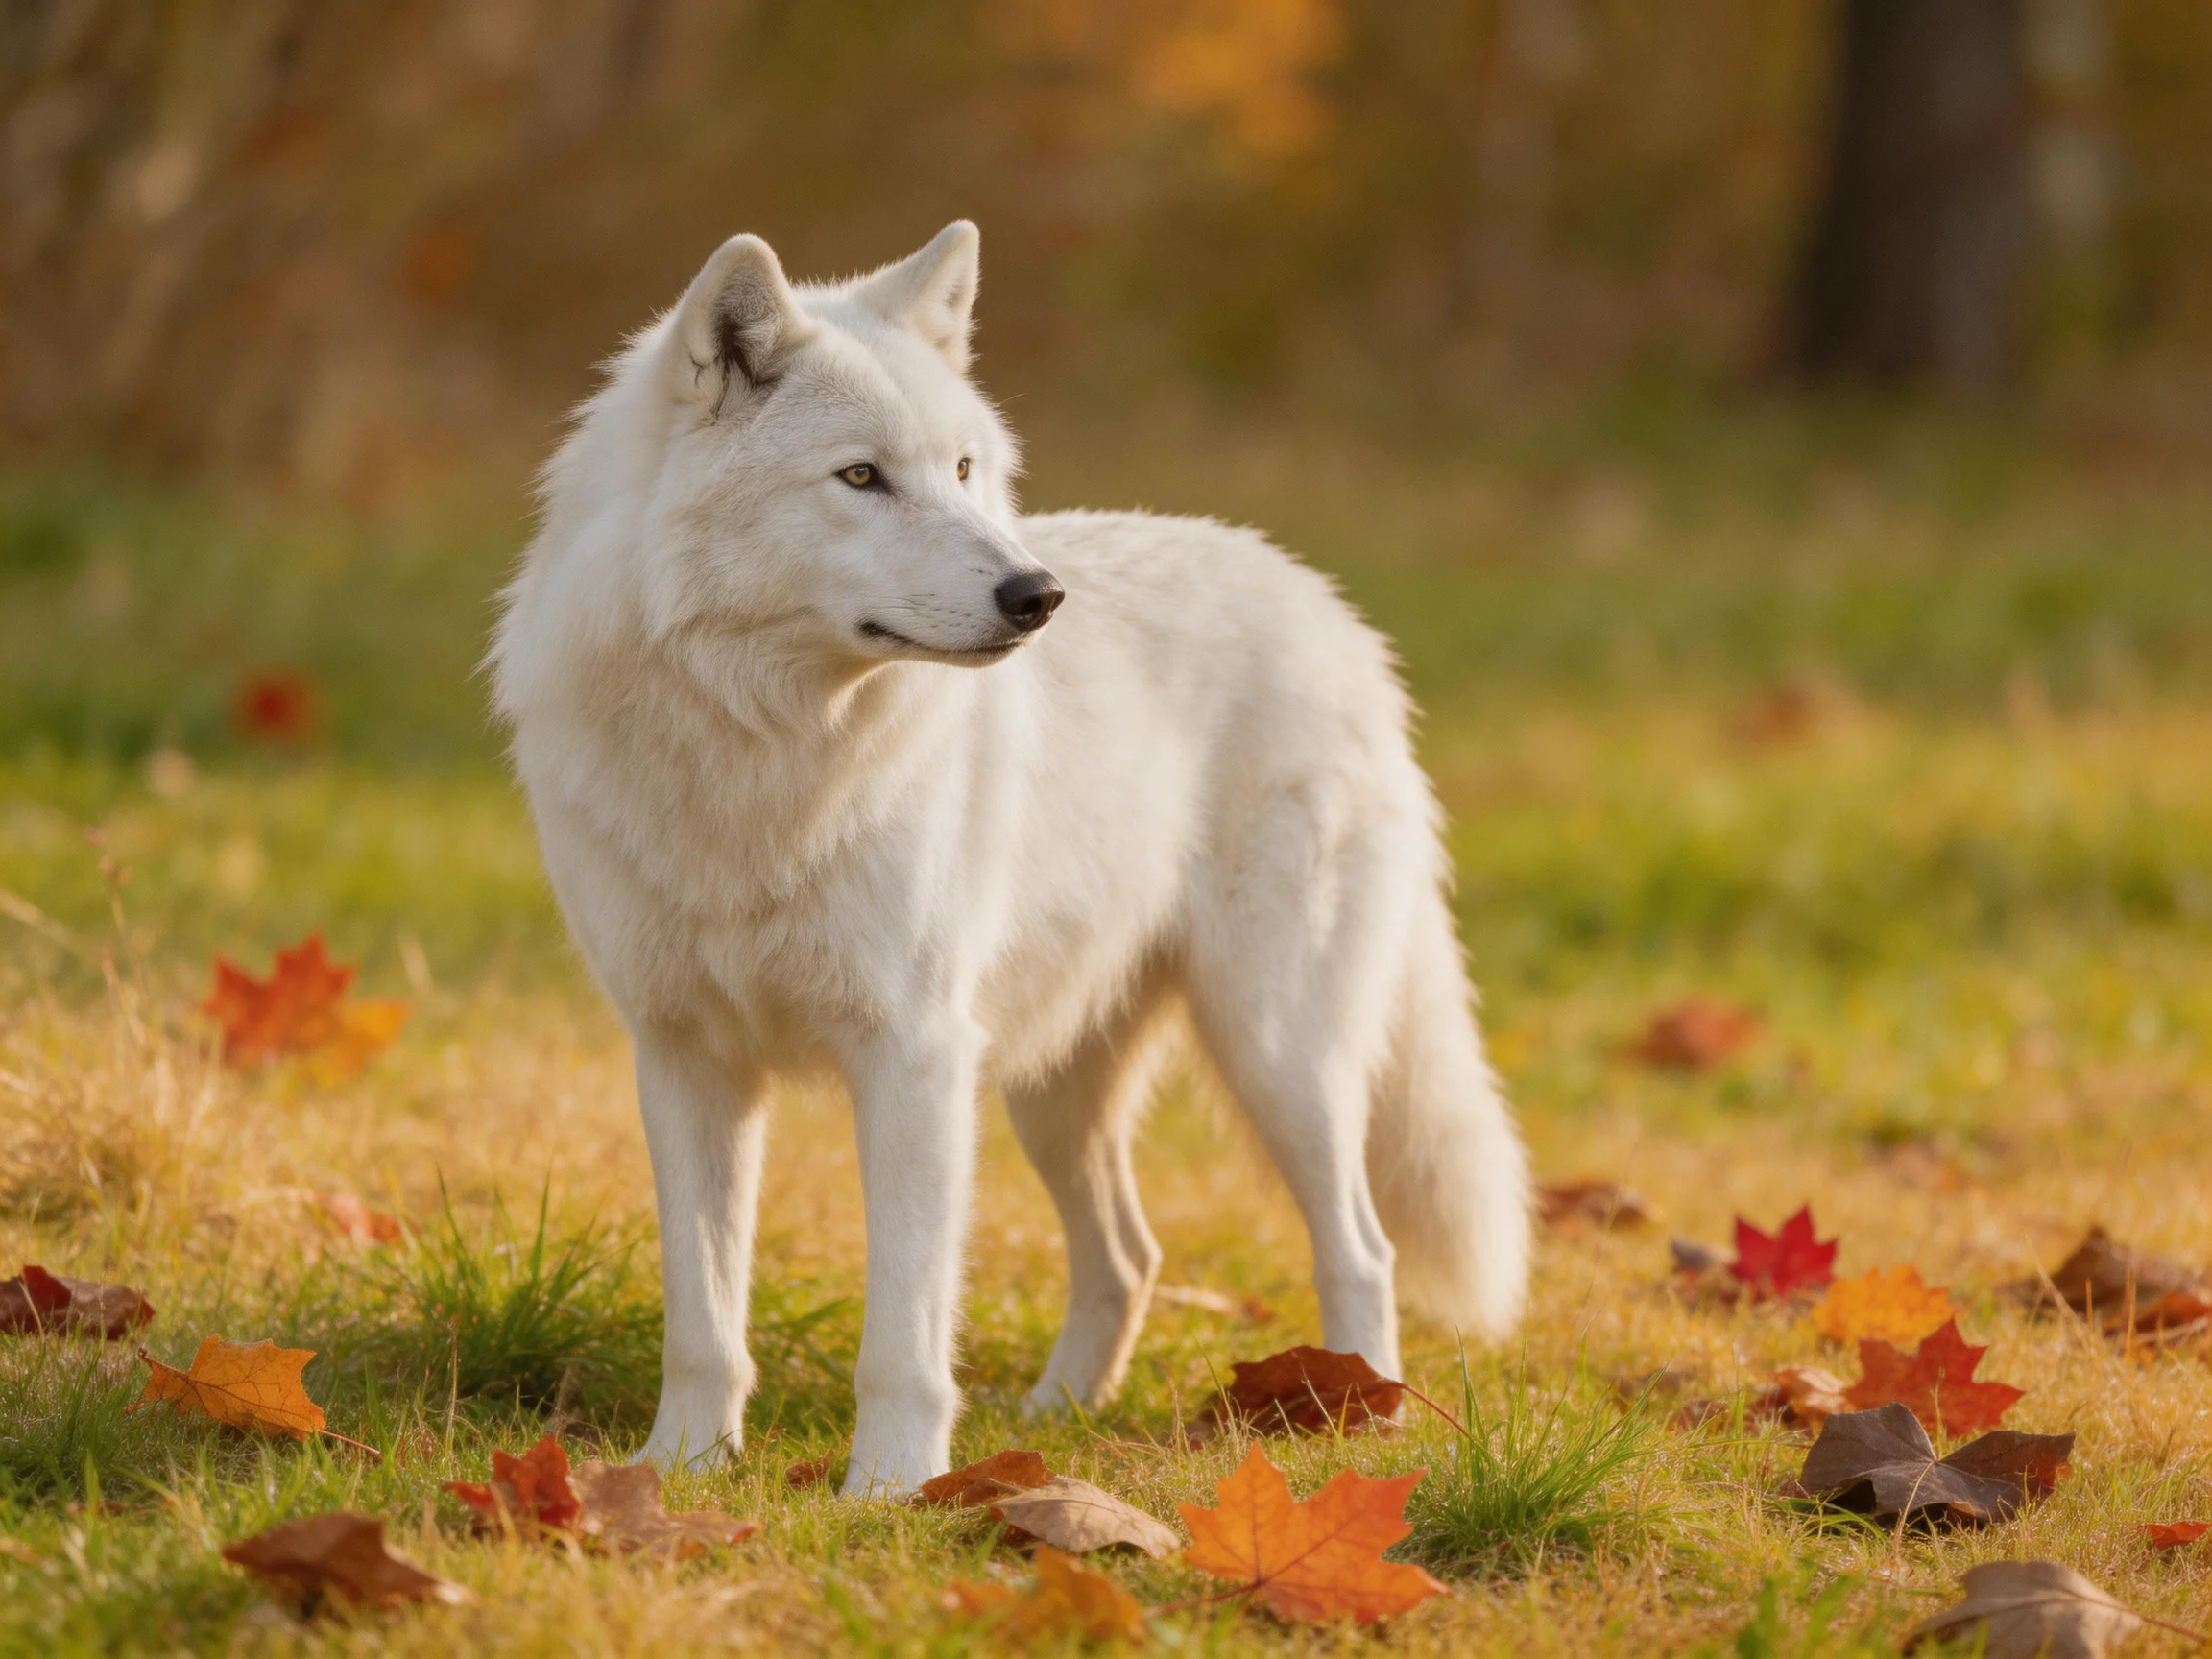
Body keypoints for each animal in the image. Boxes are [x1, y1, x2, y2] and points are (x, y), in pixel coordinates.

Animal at [489, 222, 1529, 1494]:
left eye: (964, 470)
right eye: (861, 477)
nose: (1038, 595)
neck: (761, 754)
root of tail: (1331, 607)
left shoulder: (914, 1060)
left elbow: (901, 1332)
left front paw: (888, 1492)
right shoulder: (684, 1060)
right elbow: (703, 1318)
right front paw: (677, 1474)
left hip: (1276, 1054)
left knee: (1362, 1248)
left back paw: (1359, 1427)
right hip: (1051, 1091)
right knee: (1133, 1255)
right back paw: (1058, 1421)